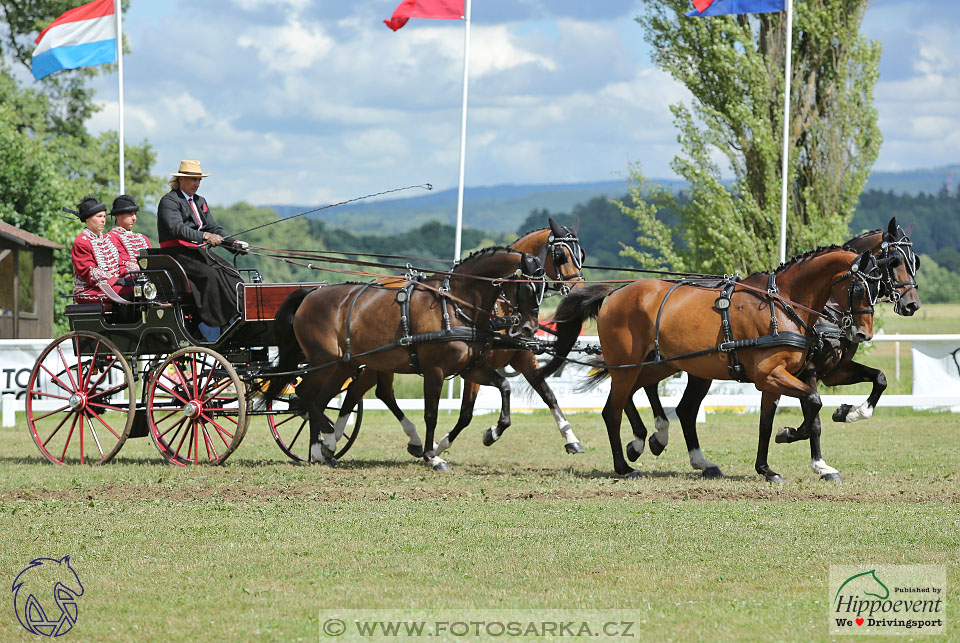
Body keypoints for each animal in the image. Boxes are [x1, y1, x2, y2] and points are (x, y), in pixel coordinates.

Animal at [266, 247, 544, 472]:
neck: (455, 305)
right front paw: (433, 456)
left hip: (346, 363)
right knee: (306, 397)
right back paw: (325, 443)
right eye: (528, 287)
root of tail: (311, 293)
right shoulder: (434, 370)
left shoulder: (471, 368)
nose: (529, 329)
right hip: (325, 362)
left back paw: (323, 450)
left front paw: (493, 432)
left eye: (543, 288)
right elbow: (431, 413)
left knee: (318, 400)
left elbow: (503, 387)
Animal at [338, 219, 588, 460]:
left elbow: (548, 395)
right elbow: (467, 413)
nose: (579, 291)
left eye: (581, 255)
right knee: (359, 391)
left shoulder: (520, 358)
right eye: (561, 255)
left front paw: (571, 439)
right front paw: (445, 445)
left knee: (380, 392)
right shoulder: (472, 367)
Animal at [532, 247, 884, 484]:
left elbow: (768, 423)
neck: (781, 302)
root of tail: (616, 291)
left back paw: (659, 444)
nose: (862, 333)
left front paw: (767, 467)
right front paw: (796, 440)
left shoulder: (776, 378)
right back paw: (626, 465)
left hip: (665, 364)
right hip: (630, 364)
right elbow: (813, 402)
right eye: (858, 287)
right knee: (612, 410)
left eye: (878, 288)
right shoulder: (771, 375)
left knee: (662, 402)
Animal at [620, 219, 920, 480]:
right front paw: (812, 456)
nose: (912, 305)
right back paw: (647, 440)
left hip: (690, 367)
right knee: (635, 389)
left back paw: (671, 447)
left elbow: (879, 378)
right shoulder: (807, 371)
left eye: (914, 261)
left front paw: (849, 413)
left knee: (671, 403)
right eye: (895, 262)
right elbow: (814, 415)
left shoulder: (833, 371)